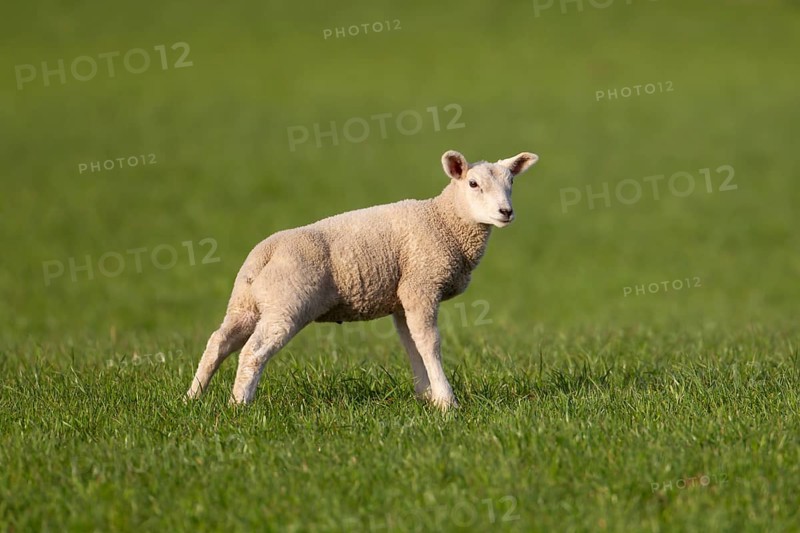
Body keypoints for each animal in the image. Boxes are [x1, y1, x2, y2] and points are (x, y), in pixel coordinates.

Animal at [186, 150, 539, 410]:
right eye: (473, 184)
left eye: (511, 182)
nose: (506, 211)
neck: (444, 220)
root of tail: (265, 253)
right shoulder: (420, 286)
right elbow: (430, 342)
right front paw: (446, 401)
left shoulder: (402, 298)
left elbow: (412, 344)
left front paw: (426, 396)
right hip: (288, 303)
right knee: (253, 351)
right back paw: (238, 404)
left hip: (246, 303)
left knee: (219, 342)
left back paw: (193, 396)